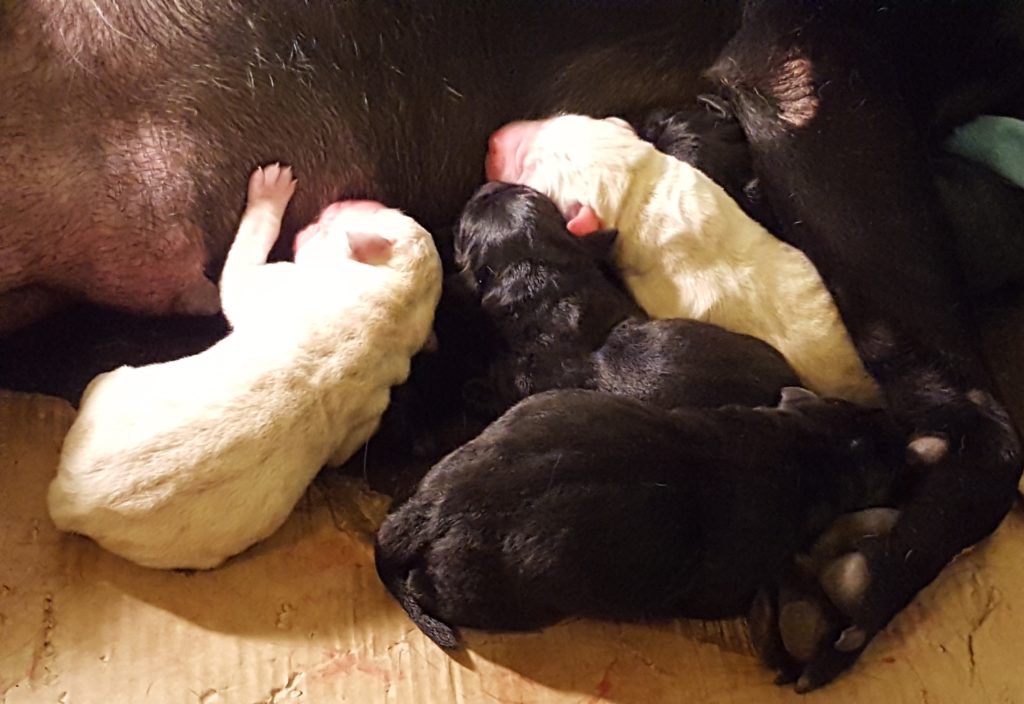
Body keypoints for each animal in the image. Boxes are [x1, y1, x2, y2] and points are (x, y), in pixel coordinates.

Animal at [48, 166, 442, 573]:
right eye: (390, 210)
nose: (339, 202)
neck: (393, 306)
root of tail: (67, 503)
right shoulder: (370, 411)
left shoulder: (274, 284)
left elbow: (239, 269)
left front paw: (270, 189)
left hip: (113, 384)